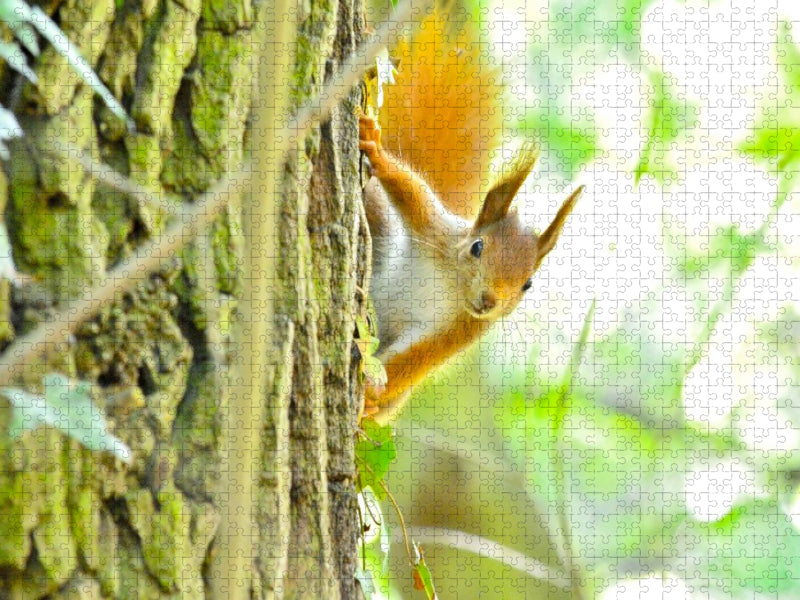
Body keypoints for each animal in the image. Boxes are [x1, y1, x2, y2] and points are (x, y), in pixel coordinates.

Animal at [359, 14, 583, 424]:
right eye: (477, 247)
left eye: (528, 284)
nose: (490, 300)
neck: (451, 286)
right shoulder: (434, 230)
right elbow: (409, 187)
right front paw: (377, 150)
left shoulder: (461, 331)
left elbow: (412, 364)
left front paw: (369, 392)